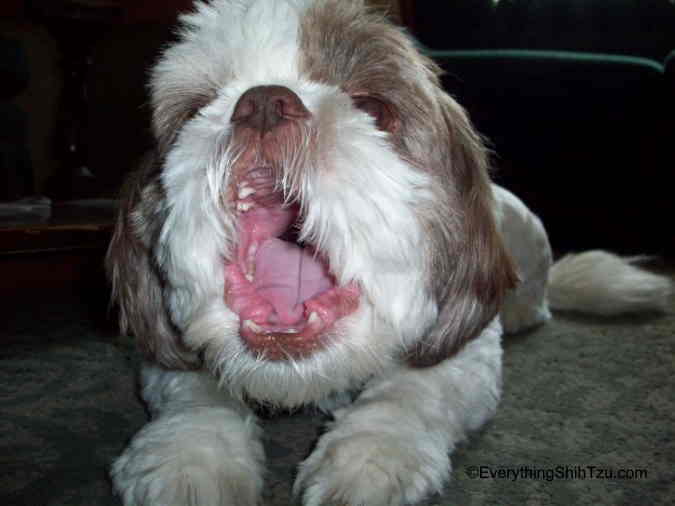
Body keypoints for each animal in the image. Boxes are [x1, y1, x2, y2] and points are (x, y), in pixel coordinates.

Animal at [105, 1, 672, 504]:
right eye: (194, 110)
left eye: (375, 108)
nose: (262, 102)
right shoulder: (166, 356)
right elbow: (197, 394)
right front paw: (188, 458)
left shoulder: (466, 349)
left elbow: (411, 389)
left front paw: (370, 456)